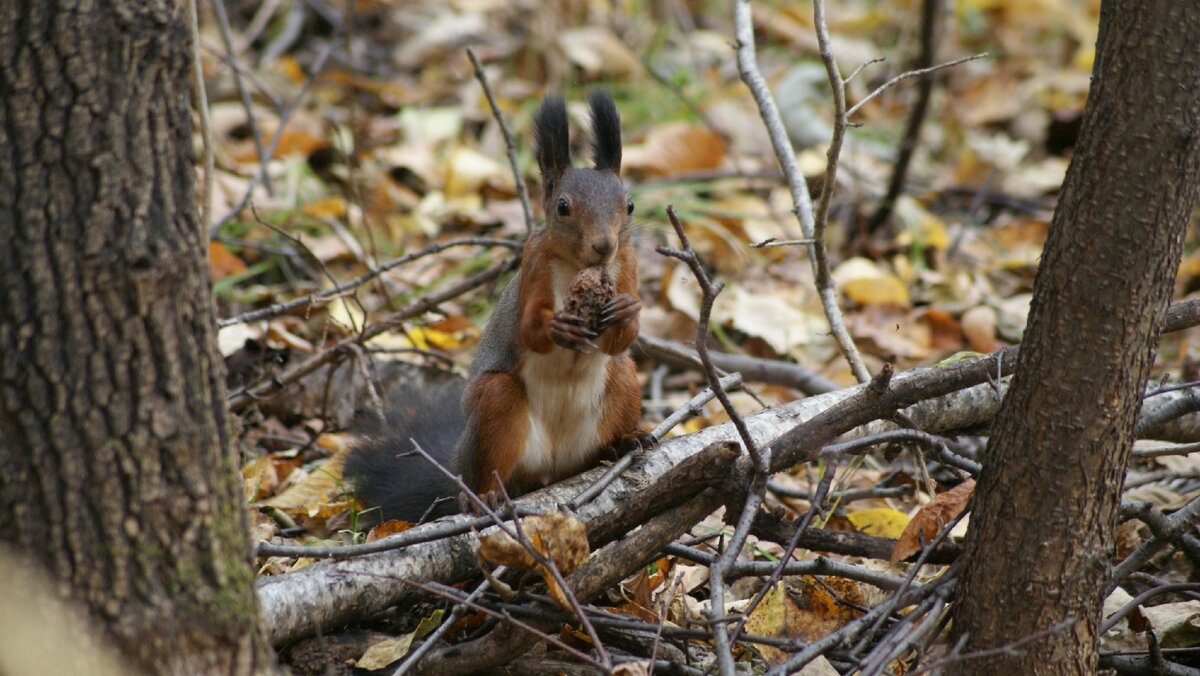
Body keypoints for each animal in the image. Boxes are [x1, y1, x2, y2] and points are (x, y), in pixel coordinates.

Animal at [345, 90, 648, 523]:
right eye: (563, 207)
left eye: (630, 205)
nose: (604, 246)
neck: (579, 268)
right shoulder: (532, 266)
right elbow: (528, 329)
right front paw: (556, 328)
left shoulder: (628, 264)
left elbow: (619, 340)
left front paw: (626, 310)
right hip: (496, 408)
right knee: (489, 460)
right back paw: (483, 496)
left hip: (621, 384)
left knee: (617, 382)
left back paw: (625, 442)